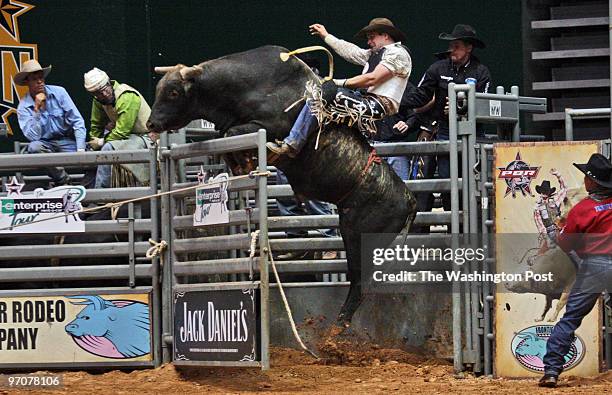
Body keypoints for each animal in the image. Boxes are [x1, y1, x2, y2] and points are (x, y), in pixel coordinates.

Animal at [146, 45, 418, 328]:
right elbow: (226, 137)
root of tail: (410, 200)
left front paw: (252, 159)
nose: (151, 124)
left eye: (173, 92)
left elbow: (232, 133)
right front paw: (241, 165)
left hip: (359, 236)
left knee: (359, 282)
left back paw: (338, 326)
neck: (246, 85)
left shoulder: (268, 126)